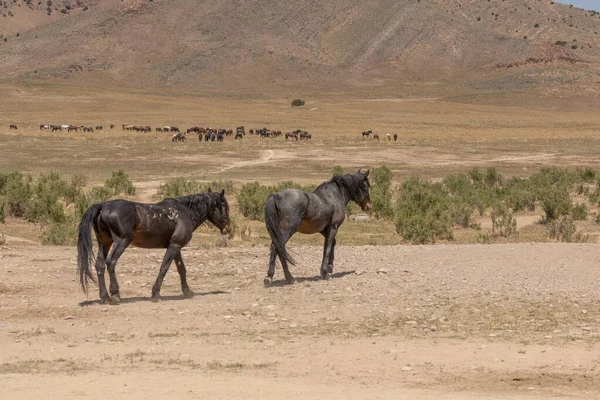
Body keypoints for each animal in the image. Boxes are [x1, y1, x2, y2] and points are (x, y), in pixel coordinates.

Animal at [76, 191, 231, 304]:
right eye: (225, 207)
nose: (228, 229)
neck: (184, 212)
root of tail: (103, 206)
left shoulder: (176, 247)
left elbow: (182, 269)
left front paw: (188, 292)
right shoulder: (174, 246)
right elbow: (164, 268)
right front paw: (156, 294)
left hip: (105, 243)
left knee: (100, 265)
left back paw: (105, 296)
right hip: (121, 242)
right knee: (111, 263)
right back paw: (115, 294)